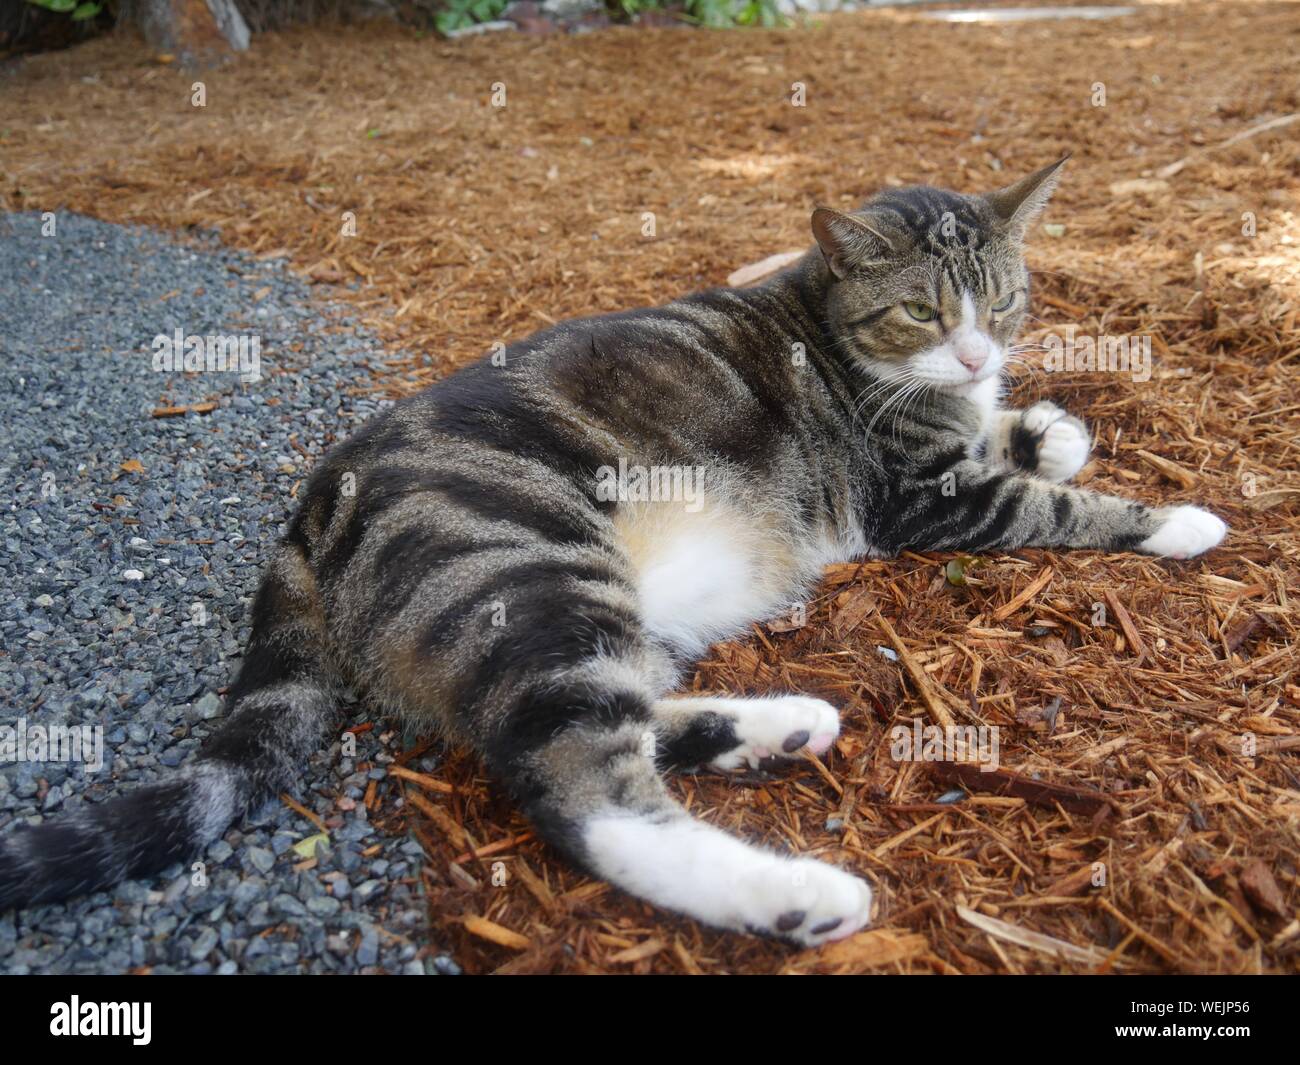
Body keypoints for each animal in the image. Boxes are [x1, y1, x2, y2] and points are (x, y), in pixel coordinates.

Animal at [0, 157, 1222, 941]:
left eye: (1003, 299)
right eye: (923, 312)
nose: (974, 355)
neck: (833, 327)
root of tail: (315, 503)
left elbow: (1026, 440)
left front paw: (1047, 423)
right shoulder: (925, 501)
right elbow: (1055, 507)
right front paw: (1176, 516)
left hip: (601, 606)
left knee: (601, 713)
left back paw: (777, 725)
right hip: (530, 568)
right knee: (579, 791)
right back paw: (792, 896)